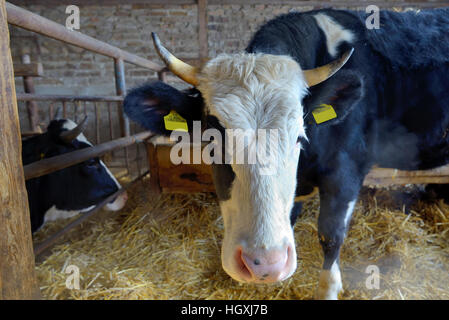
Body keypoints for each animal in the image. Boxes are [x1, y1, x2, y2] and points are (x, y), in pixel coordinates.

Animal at [122, 8, 448, 300]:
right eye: (211, 138)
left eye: (298, 138)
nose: (263, 264)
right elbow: (290, 216)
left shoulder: (346, 172)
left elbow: (331, 234)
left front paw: (328, 289)